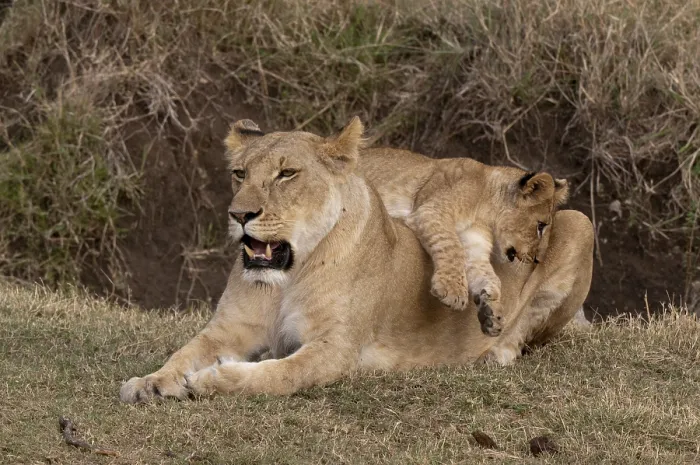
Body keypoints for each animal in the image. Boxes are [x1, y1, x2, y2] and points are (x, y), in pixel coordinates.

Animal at [357, 148, 569, 337]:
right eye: (541, 226)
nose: (538, 259)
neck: (485, 213)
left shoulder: (476, 244)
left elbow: (489, 276)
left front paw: (493, 311)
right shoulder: (430, 212)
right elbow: (452, 247)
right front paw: (453, 291)